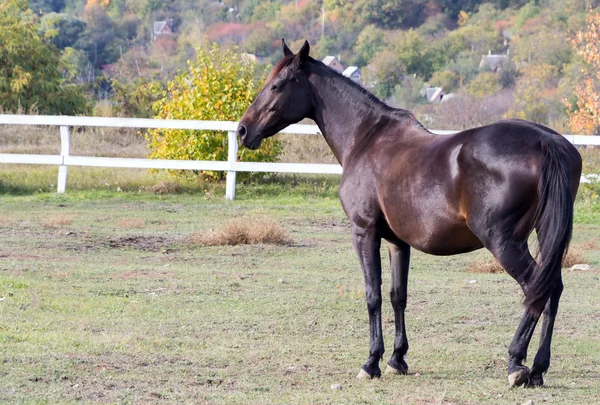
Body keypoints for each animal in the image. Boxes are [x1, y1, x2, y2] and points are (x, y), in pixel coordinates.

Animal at [238, 39, 580, 386]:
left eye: (277, 85)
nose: (242, 130)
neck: (366, 139)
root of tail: (545, 142)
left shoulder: (364, 232)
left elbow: (373, 294)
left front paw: (371, 362)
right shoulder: (397, 241)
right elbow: (397, 294)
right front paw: (396, 359)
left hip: (503, 241)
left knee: (535, 288)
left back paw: (516, 364)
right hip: (543, 234)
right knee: (552, 289)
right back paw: (537, 368)